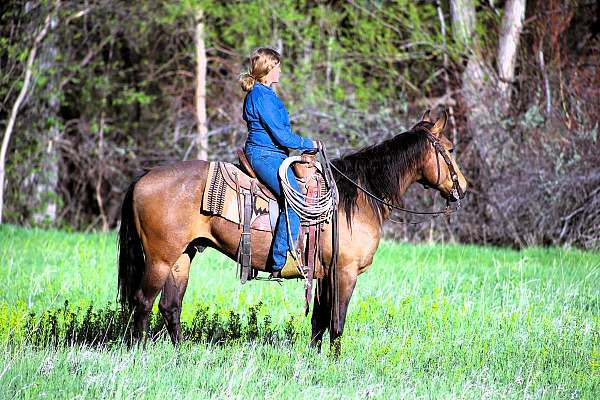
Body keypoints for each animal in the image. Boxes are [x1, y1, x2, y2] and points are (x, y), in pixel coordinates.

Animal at [118, 109, 468, 354]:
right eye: (450, 149)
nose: (462, 187)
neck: (356, 198)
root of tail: (144, 177)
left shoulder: (324, 273)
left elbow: (319, 320)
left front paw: (314, 358)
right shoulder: (345, 272)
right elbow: (337, 321)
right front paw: (335, 363)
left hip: (182, 257)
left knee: (170, 306)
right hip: (160, 258)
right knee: (143, 302)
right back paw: (139, 352)